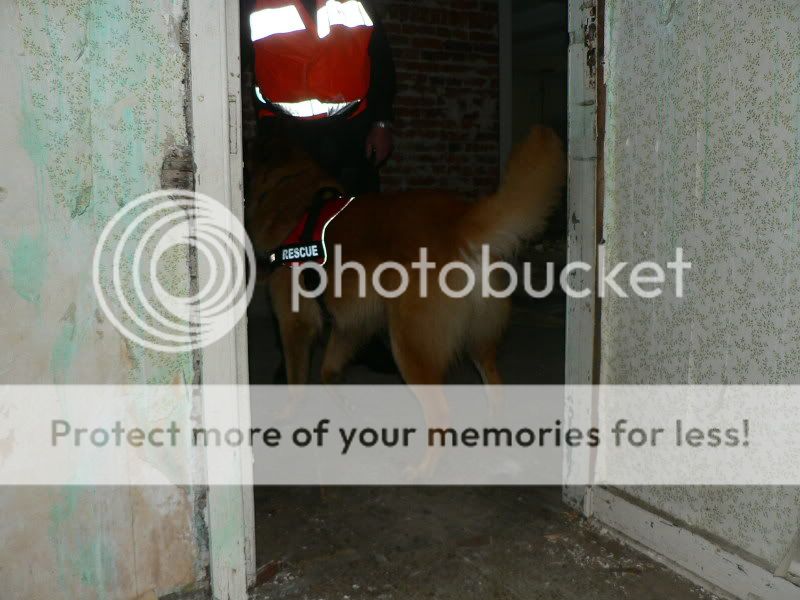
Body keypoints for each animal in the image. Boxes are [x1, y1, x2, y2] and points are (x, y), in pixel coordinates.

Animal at [247, 126, 564, 390]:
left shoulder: (296, 323)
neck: (294, 193)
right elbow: (330, 372)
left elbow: (296, 384)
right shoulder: (351, 324)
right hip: (479, 345)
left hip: (411, 348)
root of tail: (460, 222)